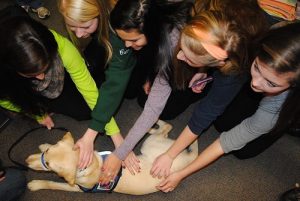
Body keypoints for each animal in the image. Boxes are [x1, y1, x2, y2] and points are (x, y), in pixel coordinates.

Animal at [26, 120, 199, 196]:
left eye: (48, 165)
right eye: (48, 152)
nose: (26, 161)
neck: (92, 163)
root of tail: (190, 159)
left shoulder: (76, 187)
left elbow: (53, 184)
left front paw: (36, 184)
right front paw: (43, 146)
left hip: (151, 145)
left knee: (168, 127)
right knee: (167, 129)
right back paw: (152, 126)